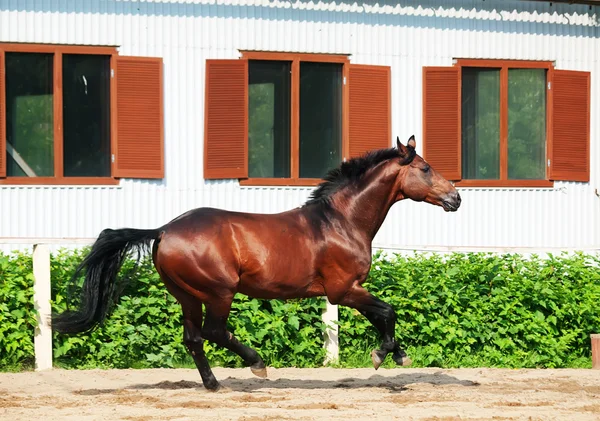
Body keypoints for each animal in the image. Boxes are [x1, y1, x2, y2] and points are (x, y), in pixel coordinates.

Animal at [52, 135, 464, 390]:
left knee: (193, 338)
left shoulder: (348, 290)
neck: (341, 221)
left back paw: (213, 384)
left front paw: (395, 353)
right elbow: (387, 311)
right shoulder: (342, 290)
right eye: (425, 168)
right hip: (219, 291)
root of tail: (164, 230)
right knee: (215, 332)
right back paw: (256, 363)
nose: (456, 198)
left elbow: (383, 314)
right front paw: (385, 355)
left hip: (187, 295)